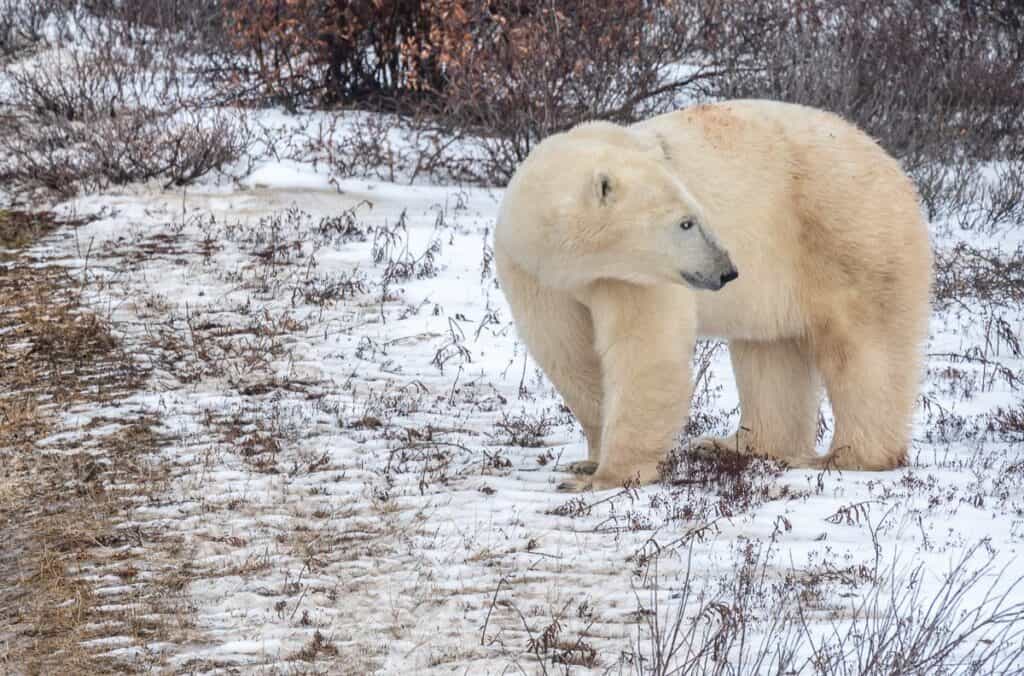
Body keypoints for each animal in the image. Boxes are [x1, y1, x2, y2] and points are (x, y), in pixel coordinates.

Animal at [495, 98, 937, 491]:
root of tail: (891, 163)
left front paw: (607, 476)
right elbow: (569, 353)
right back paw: (734, 444)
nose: (728, 270)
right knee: (769, 353)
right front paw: (587, 461)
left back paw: (846, 456)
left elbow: (644, 354)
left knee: (864, 349)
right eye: (686, 222)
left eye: (696, 215)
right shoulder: (534, 274)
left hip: (846, 232)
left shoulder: (638, 279)